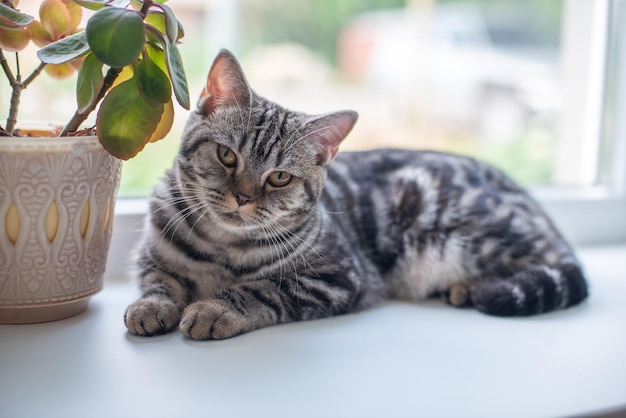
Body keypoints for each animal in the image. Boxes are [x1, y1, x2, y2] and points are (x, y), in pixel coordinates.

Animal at [124, 50, 588, 342]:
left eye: (279, 178)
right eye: (226, 155)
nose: (243, 198)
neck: (220, 248)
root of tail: (525, 196)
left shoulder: (338, 276)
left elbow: (261, 289)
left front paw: (215, 309)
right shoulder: (150, 255)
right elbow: (159, 279)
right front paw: (151, 306)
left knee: (543, 262)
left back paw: (473, 286)